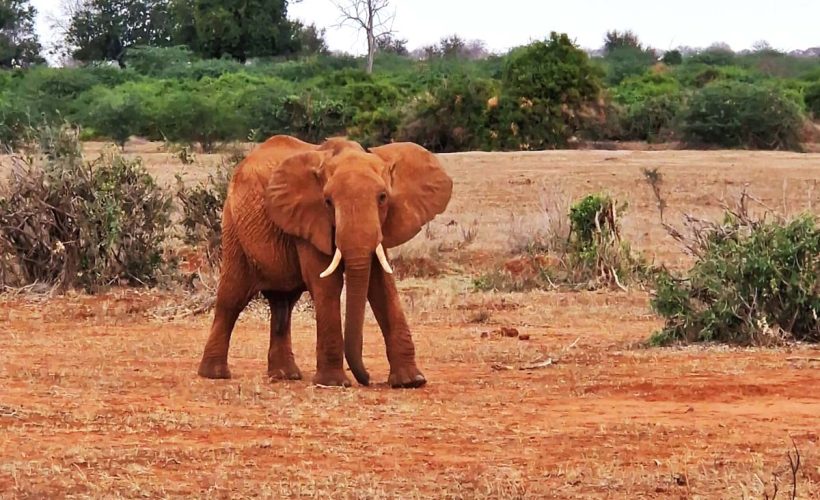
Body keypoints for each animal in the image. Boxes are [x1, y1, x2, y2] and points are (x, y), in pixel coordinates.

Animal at [197, 135, 453, 388]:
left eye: (383, 198)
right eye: (328, 201)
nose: (368, 379)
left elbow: (381, 285)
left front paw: (411, 381)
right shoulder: (309, 220)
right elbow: (327, 284)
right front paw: (334, 383)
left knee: (283, 304)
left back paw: (285, 376)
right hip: (233, 227)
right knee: (232, 297)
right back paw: (215, 374)